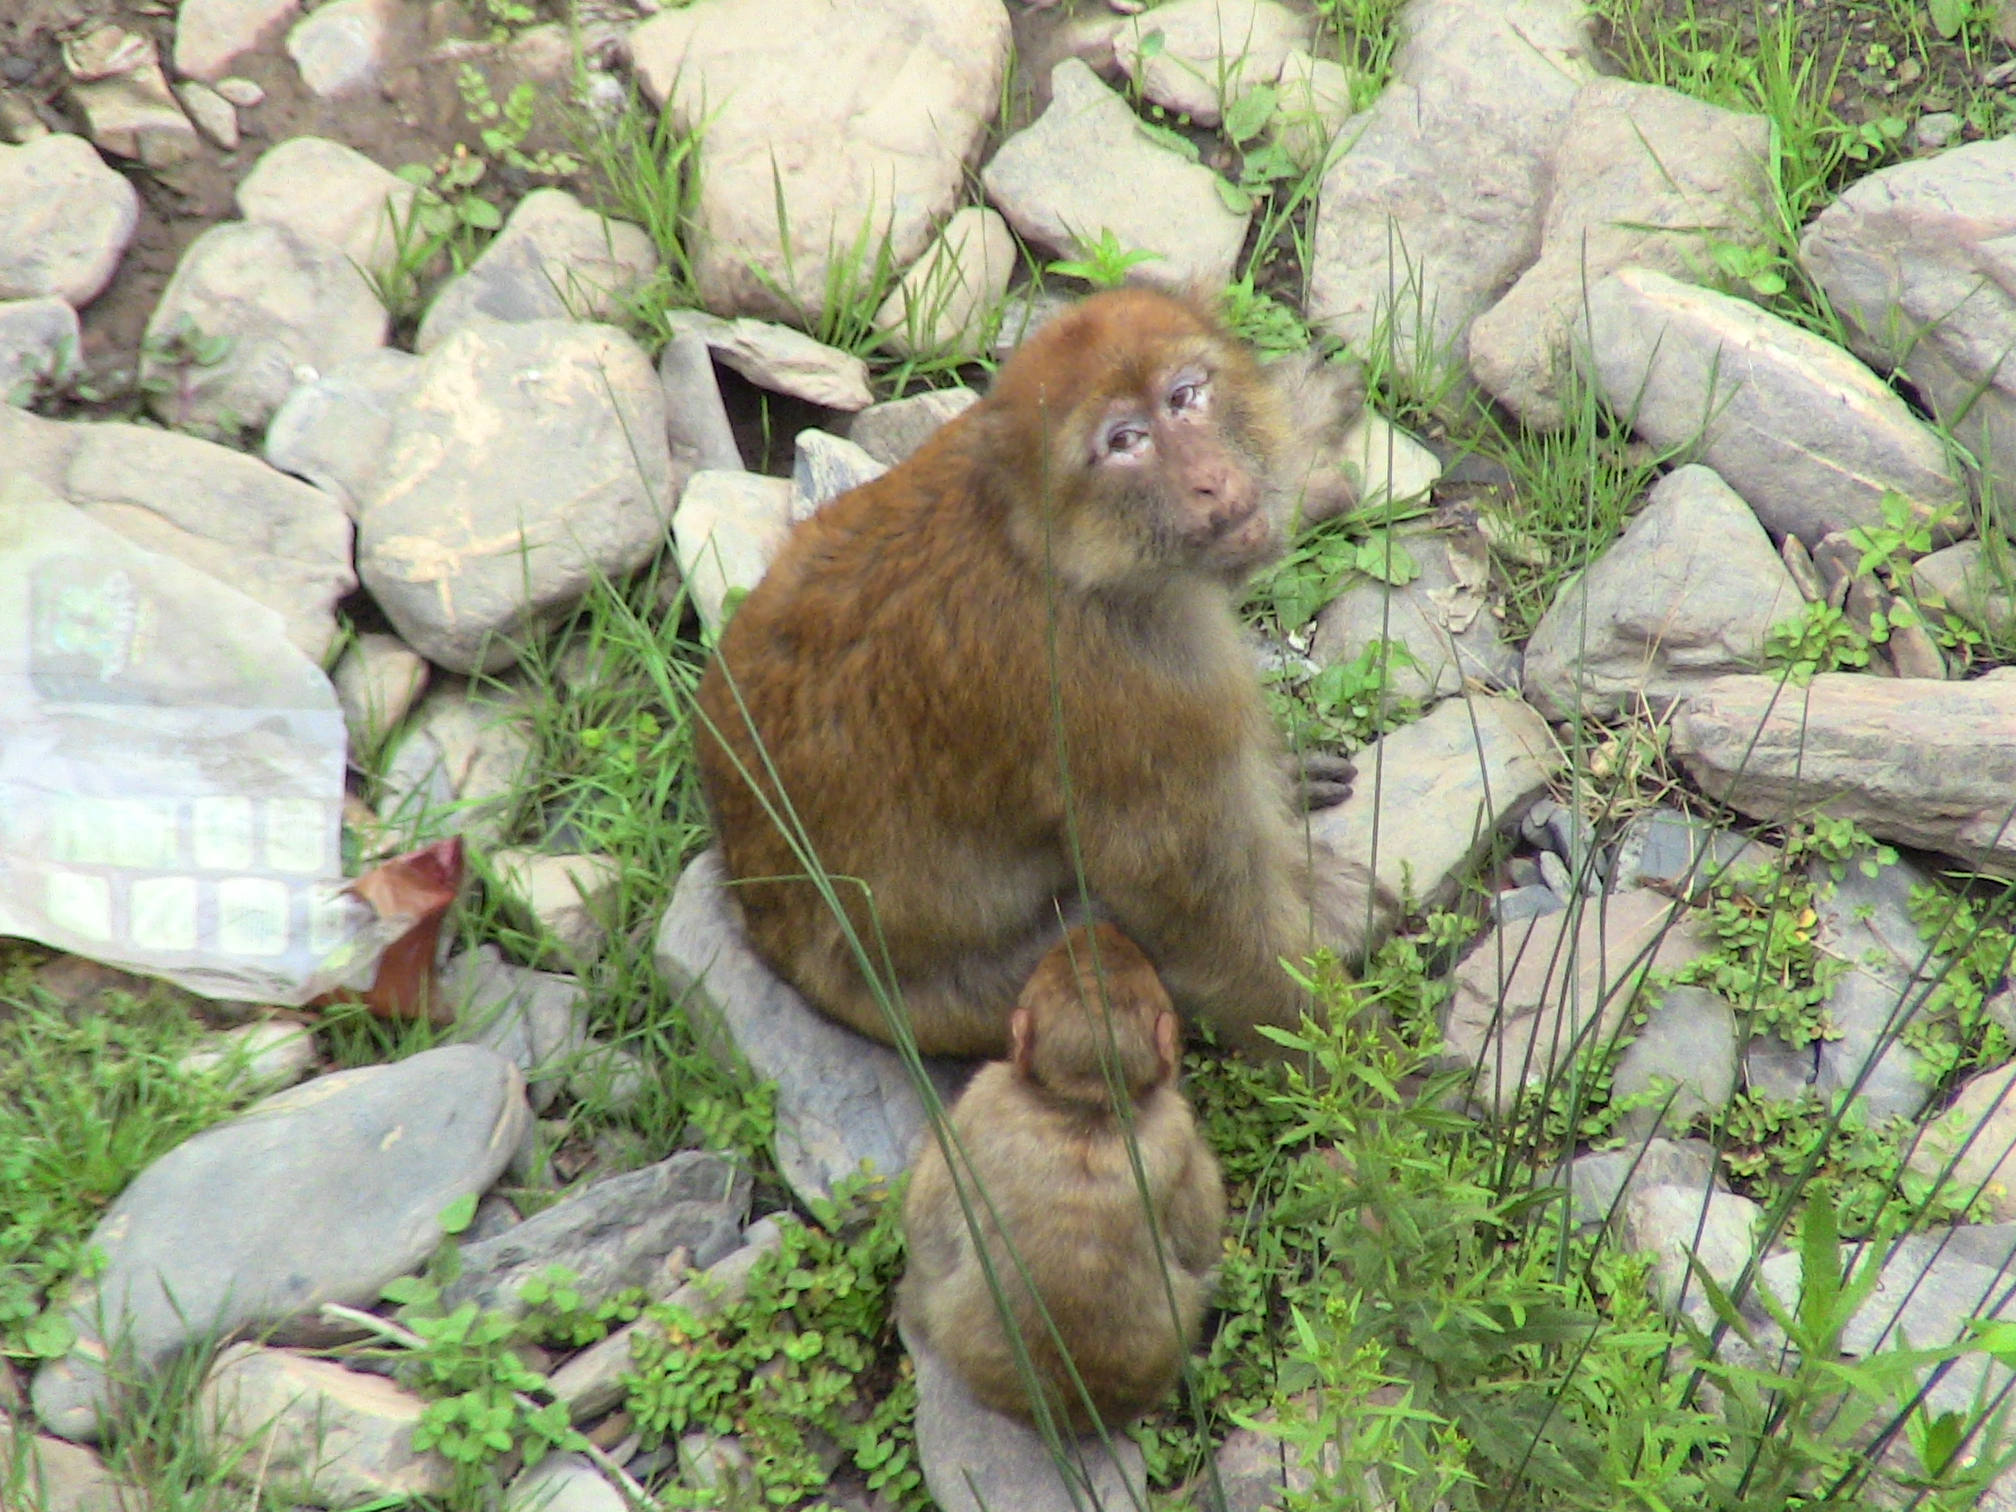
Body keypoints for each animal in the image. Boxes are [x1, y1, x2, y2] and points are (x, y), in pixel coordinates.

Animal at [695, 285, 1393, 1060]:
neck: (1059, 557)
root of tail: (761, 914)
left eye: (1184, 397)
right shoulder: (1142, 700)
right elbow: (1214, 941)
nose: (1211, 482)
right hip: (965, 1003)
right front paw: (1365, 1070)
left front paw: (1294, 422)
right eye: (1124, 442)